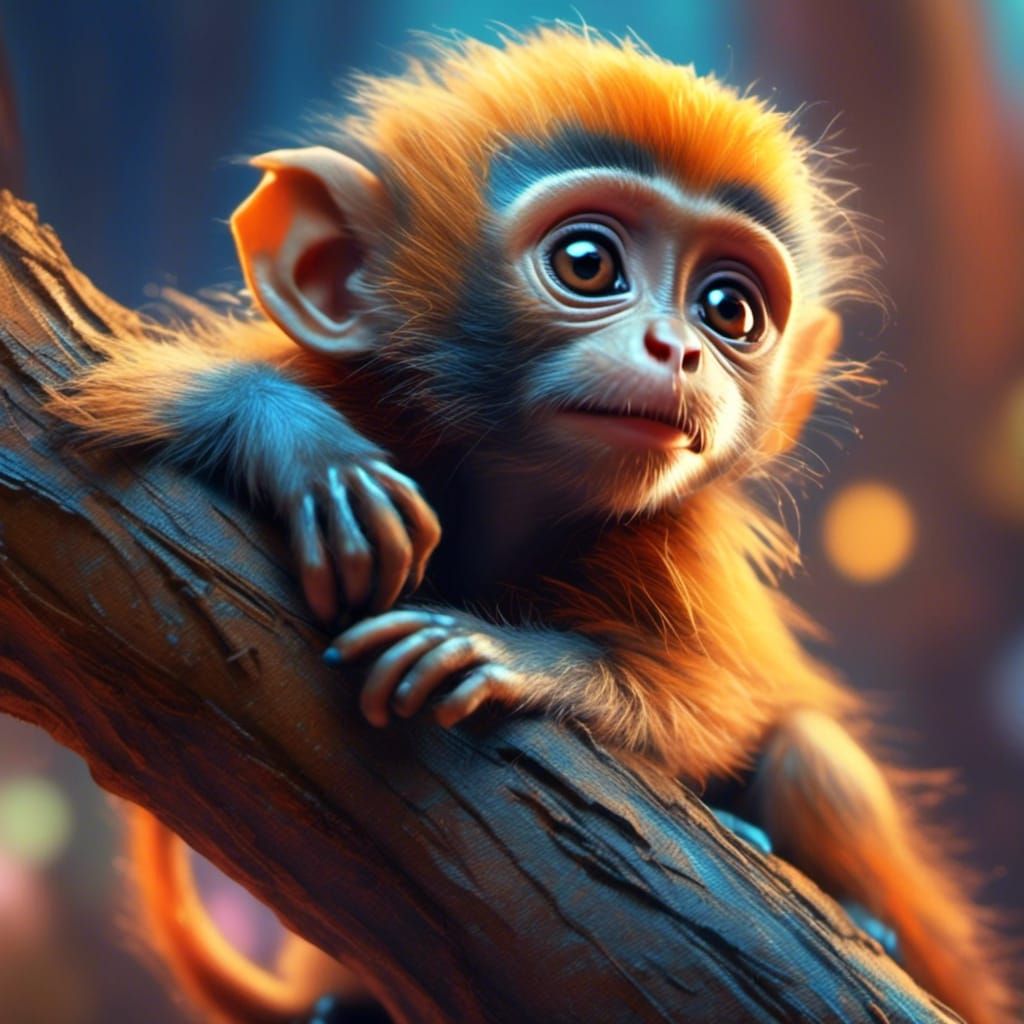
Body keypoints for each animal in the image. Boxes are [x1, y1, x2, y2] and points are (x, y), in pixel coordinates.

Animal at [47, 28, 1017, 1024]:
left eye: (728, 310)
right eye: (588, 263)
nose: (680, 348)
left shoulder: (680, 545)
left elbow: (716, 704)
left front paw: (518, 659)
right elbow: (111, 393)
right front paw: (308, 450)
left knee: (812, 755)